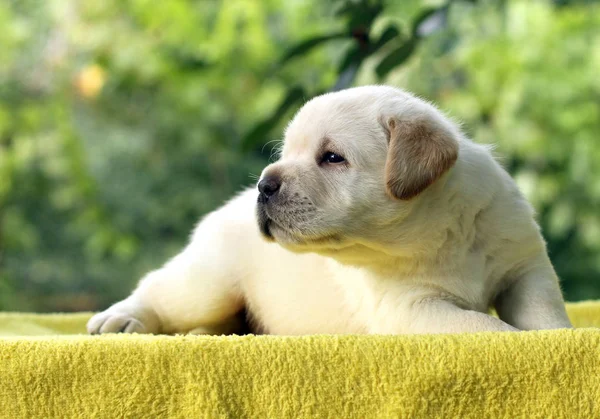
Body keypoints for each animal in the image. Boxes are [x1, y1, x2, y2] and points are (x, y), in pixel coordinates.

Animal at [88, 86, 572, 338]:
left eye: (332, 158)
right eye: (286, 154)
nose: (264, 185)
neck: (440, 232)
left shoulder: (525, 269)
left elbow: (544, 313)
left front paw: (558, 337)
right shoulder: (412, 308)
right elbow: (487, 328)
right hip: (207, 283)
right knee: (158, 290)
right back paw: (120, 318)